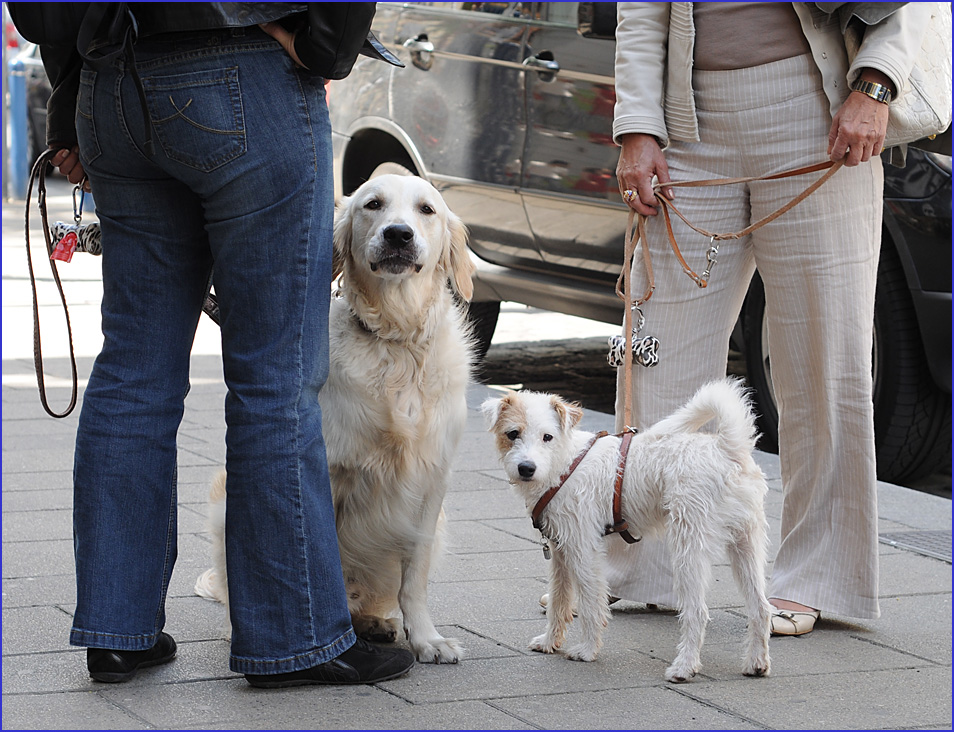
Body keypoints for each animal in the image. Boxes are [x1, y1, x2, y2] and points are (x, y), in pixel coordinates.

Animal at [196, 174, 472, 668]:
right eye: (372, 204)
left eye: (426, 209)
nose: (398, 234)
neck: (395, 342)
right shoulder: (326, 472)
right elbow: (321, 562)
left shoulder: (431, 484)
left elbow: (414, 579)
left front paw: (427, 639)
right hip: (225, 508)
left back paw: (375, 623)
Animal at [480, 380, 768, 684]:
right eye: (513, 433)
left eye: (547, 437)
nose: (527, 468)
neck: (565, 463)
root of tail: (729, 449)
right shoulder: (561, 552)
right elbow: (559, 601)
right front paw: (549, 643)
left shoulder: (583, 550)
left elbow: (591, 604)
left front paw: (587, 650)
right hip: (746, 545)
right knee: (760, 607)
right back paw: (757, 663)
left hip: (689, 547)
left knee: (698, 612)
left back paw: (684, 667)